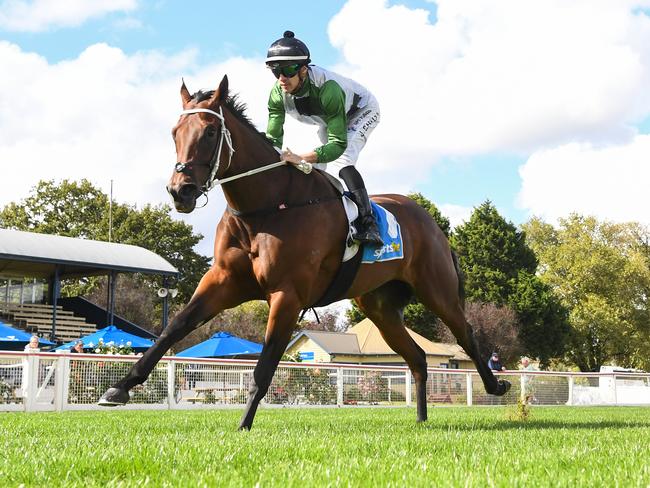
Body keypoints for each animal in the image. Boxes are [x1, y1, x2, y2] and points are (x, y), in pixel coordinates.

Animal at [98, 74, 508, 428]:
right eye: (175, 133)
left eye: (211, 131)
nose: (179, 191)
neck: (267, 206)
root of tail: (430, 222)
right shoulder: (223, 281)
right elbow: (175, 327)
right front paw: (118, 388)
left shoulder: (287, 293)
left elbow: (264, 365)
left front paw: (243, 425)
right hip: (379, 306)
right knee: (419, 357)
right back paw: (422, 419)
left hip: (436, 289)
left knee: (466, 333)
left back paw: (496, 385)